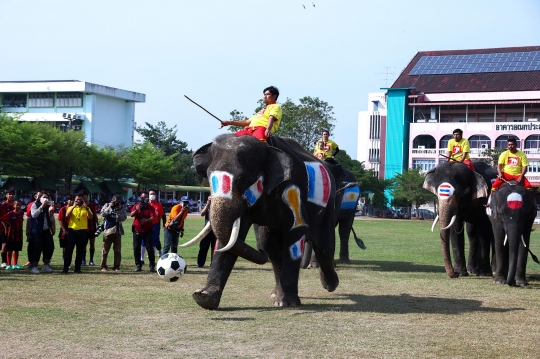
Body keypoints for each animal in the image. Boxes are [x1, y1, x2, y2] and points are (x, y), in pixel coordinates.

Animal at [180, 135, 338, 310]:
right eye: (209, 178)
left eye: (243, 179)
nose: (260, 252)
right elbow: (234, 238)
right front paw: (203, 297)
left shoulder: (294, 189)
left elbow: (296, 234)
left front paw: (288, 303)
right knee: (271, 247)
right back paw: (276, 294)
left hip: (328, 206)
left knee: (324, 246)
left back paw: (330, 285)